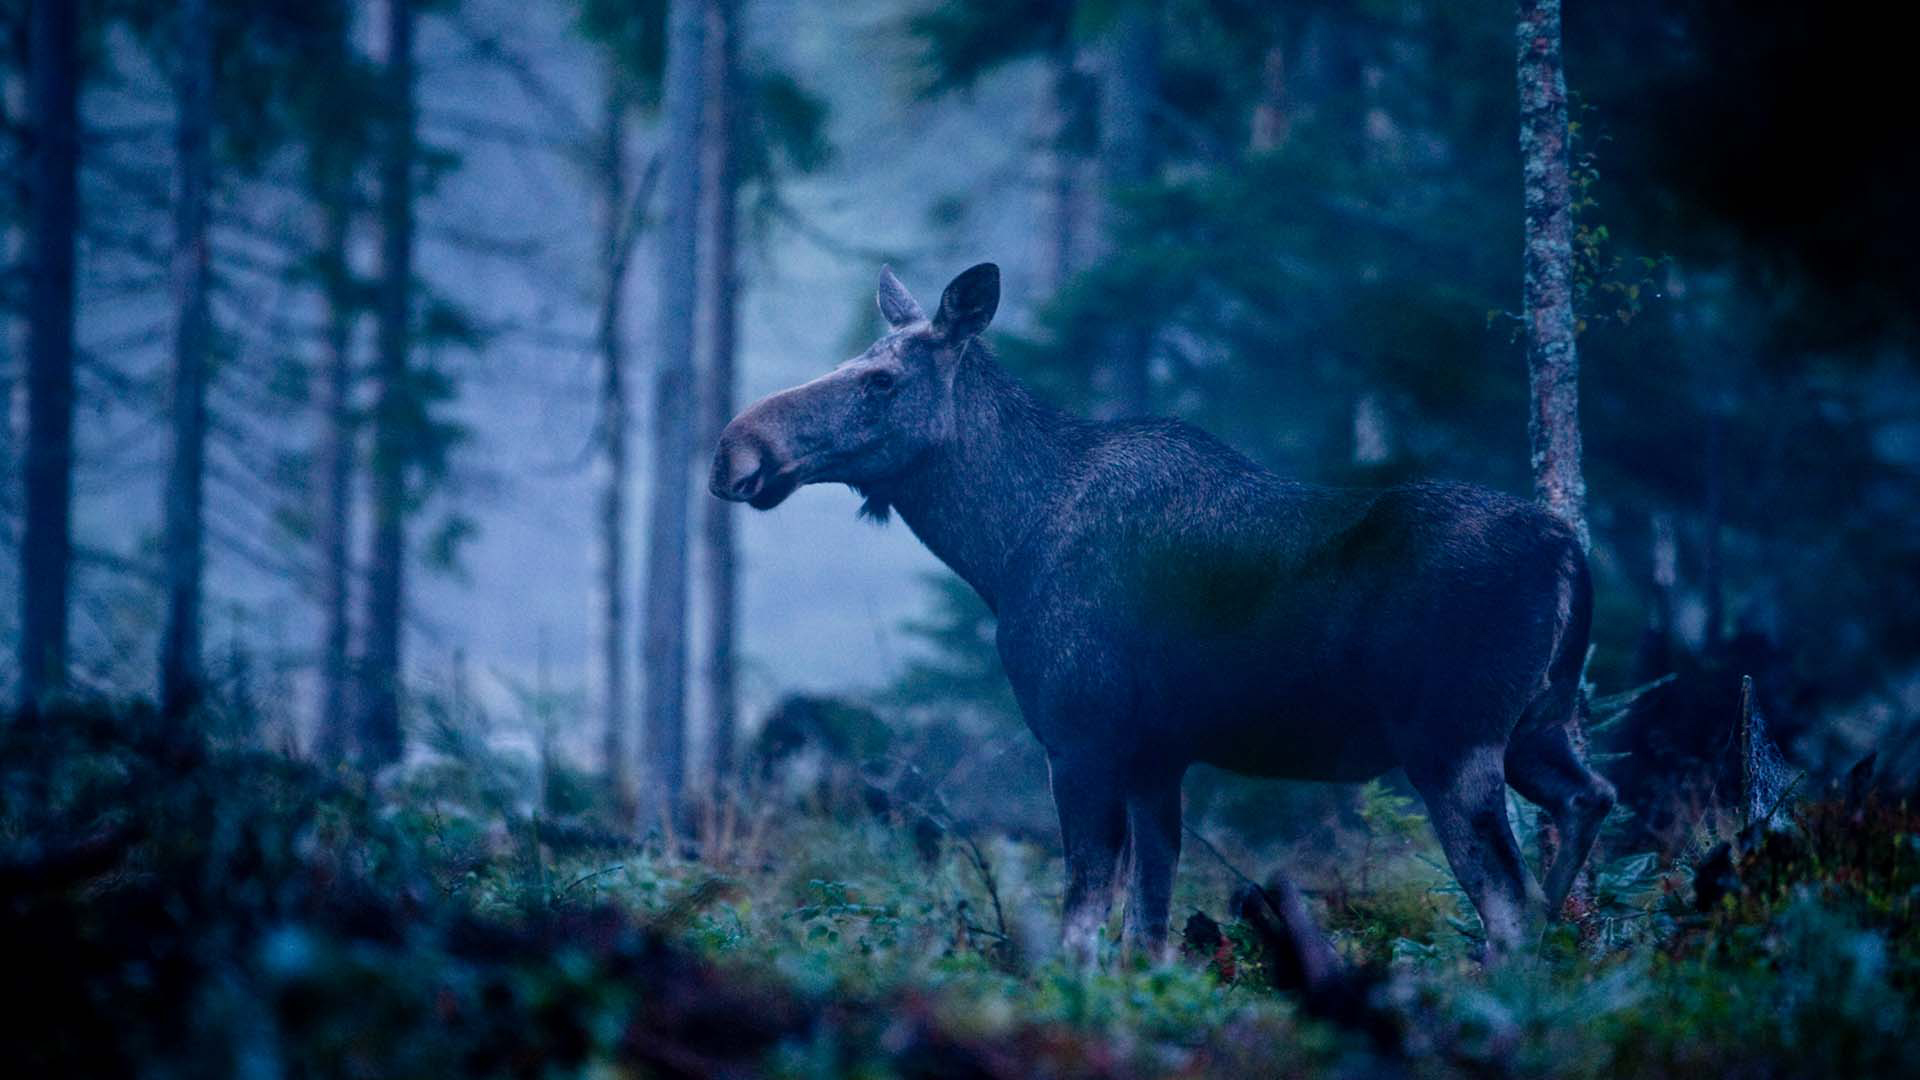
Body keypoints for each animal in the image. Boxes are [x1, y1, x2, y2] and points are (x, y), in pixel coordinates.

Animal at [714, 263, 1612, 957]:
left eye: (881, 379)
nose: (734, 449)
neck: (1000, 547)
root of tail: (1571, 551)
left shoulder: (1082, 735)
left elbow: (1082, 920)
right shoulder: (1158, 756)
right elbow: (1146, 929)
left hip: (1452, 743)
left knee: (1509, 909)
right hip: (1534, 729)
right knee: (1587, 806)